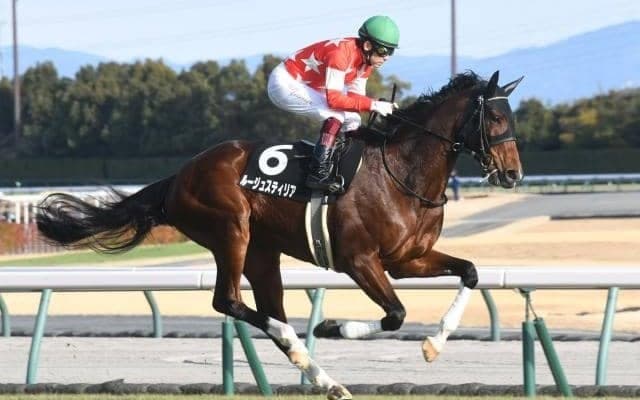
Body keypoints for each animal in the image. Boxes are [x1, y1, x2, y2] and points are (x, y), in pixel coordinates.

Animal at [37, 70, 523, 400]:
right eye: (496, 117)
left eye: (511, 116)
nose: (513, 173)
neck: (401, 172)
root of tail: (178, 177)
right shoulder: (360, 260)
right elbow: (395, 315)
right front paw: (332, 326)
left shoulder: (407, 259)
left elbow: (470, 273)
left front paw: (433, 345)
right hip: (231, 230)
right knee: (230, 301)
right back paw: (302, 346)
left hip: (263, 253)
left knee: (265, 309)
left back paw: (325, 378)